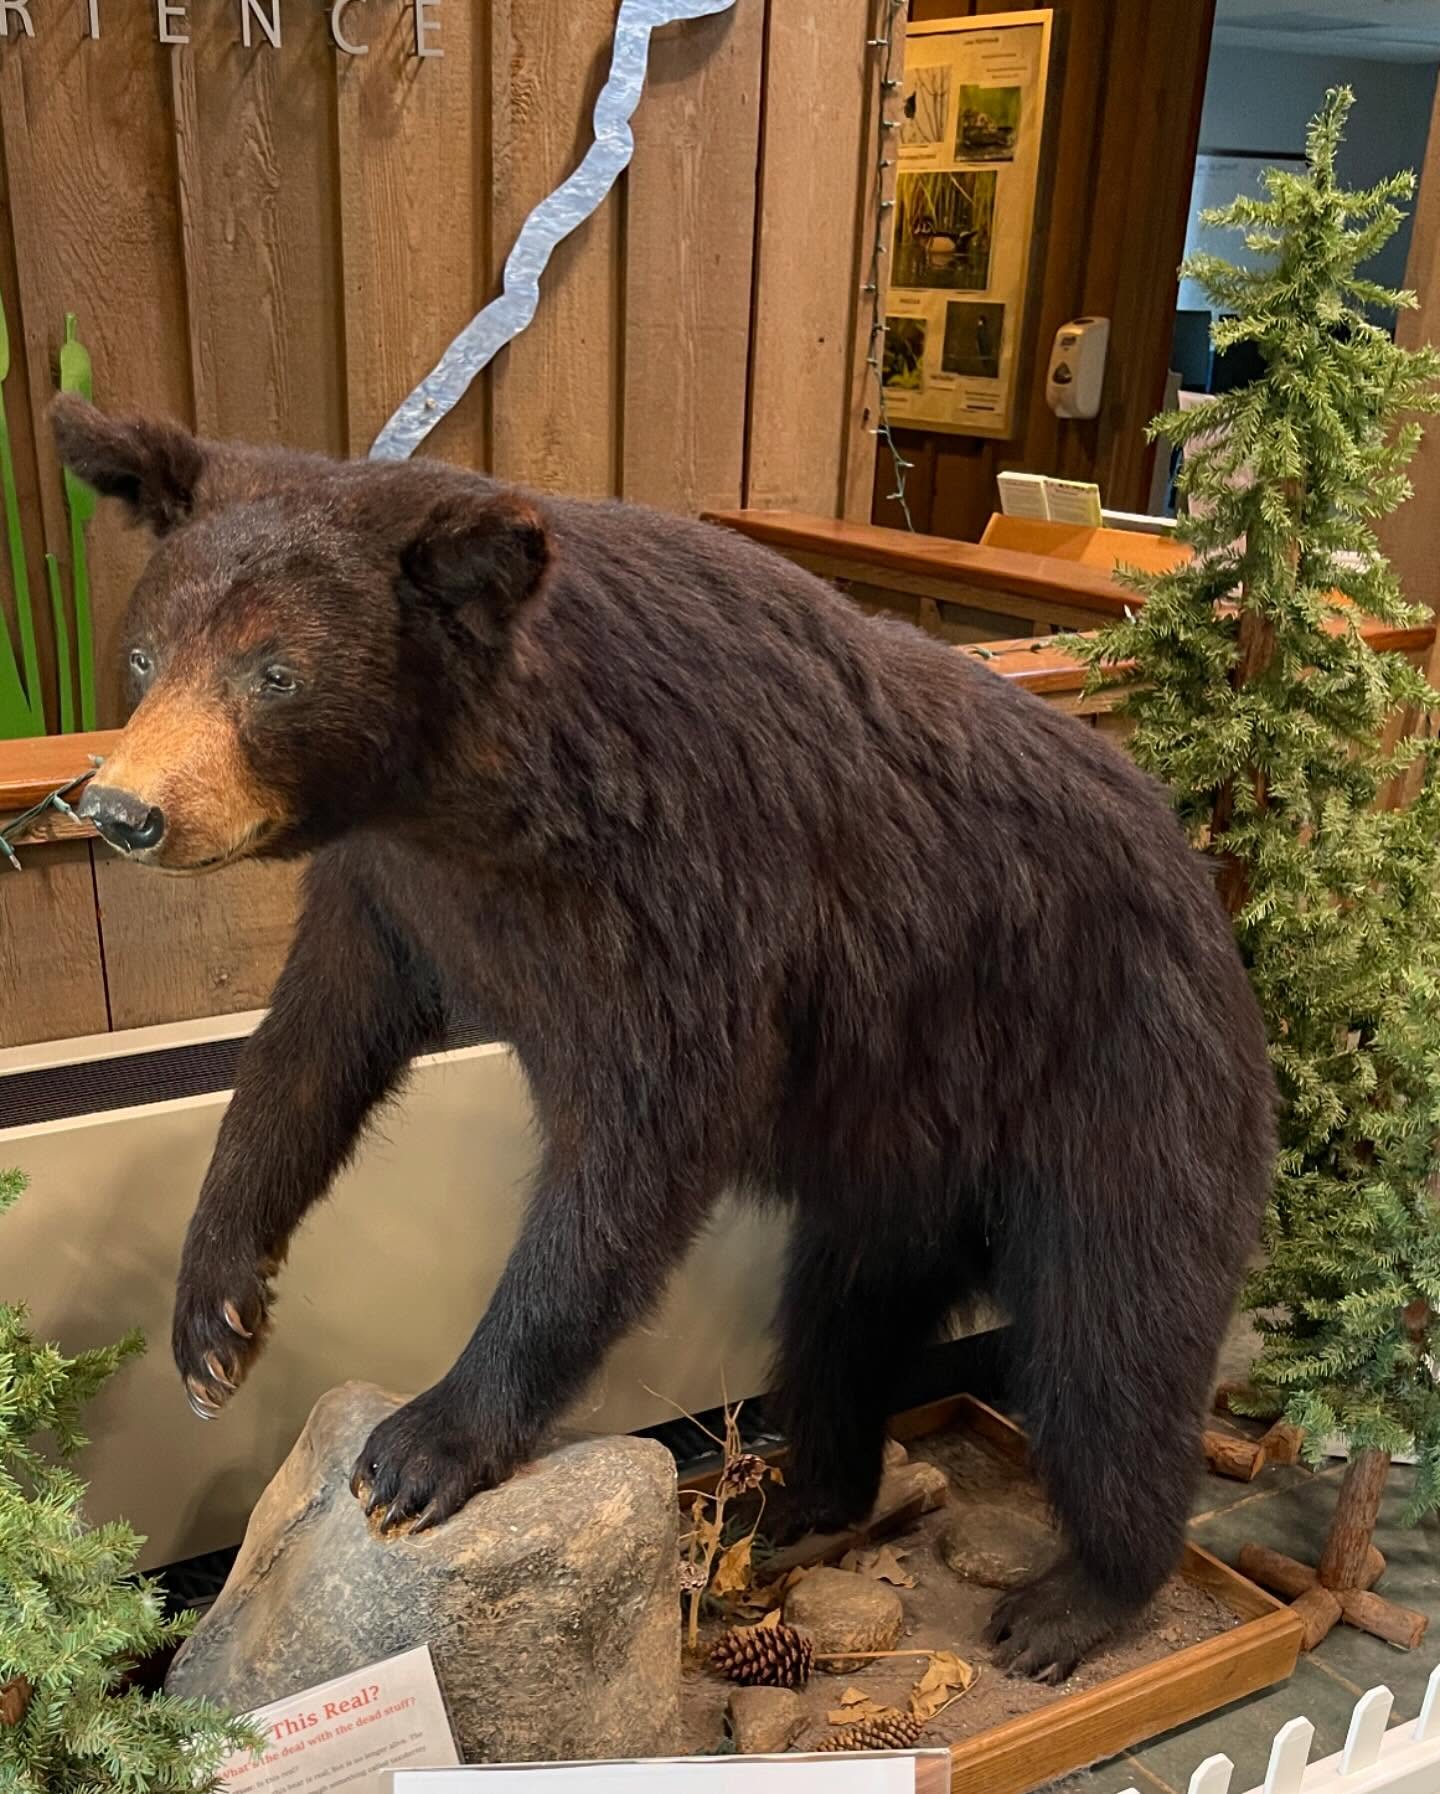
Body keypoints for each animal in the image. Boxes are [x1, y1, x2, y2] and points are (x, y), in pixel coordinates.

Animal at [53, 394, 1275, 1682]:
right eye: (145, 655)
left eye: (275, 673)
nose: (122, 810)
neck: (489, 798)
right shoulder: (398, 893)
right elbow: (310, 1048)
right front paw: (213, 1316)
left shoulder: (691, 891)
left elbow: (637, 1154)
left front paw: (422, 1447)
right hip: (899, 1166)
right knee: (837, 1322)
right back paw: (806, 1499)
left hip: (1125, 1088)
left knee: (1113, 1347)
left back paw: (1074, 1598)